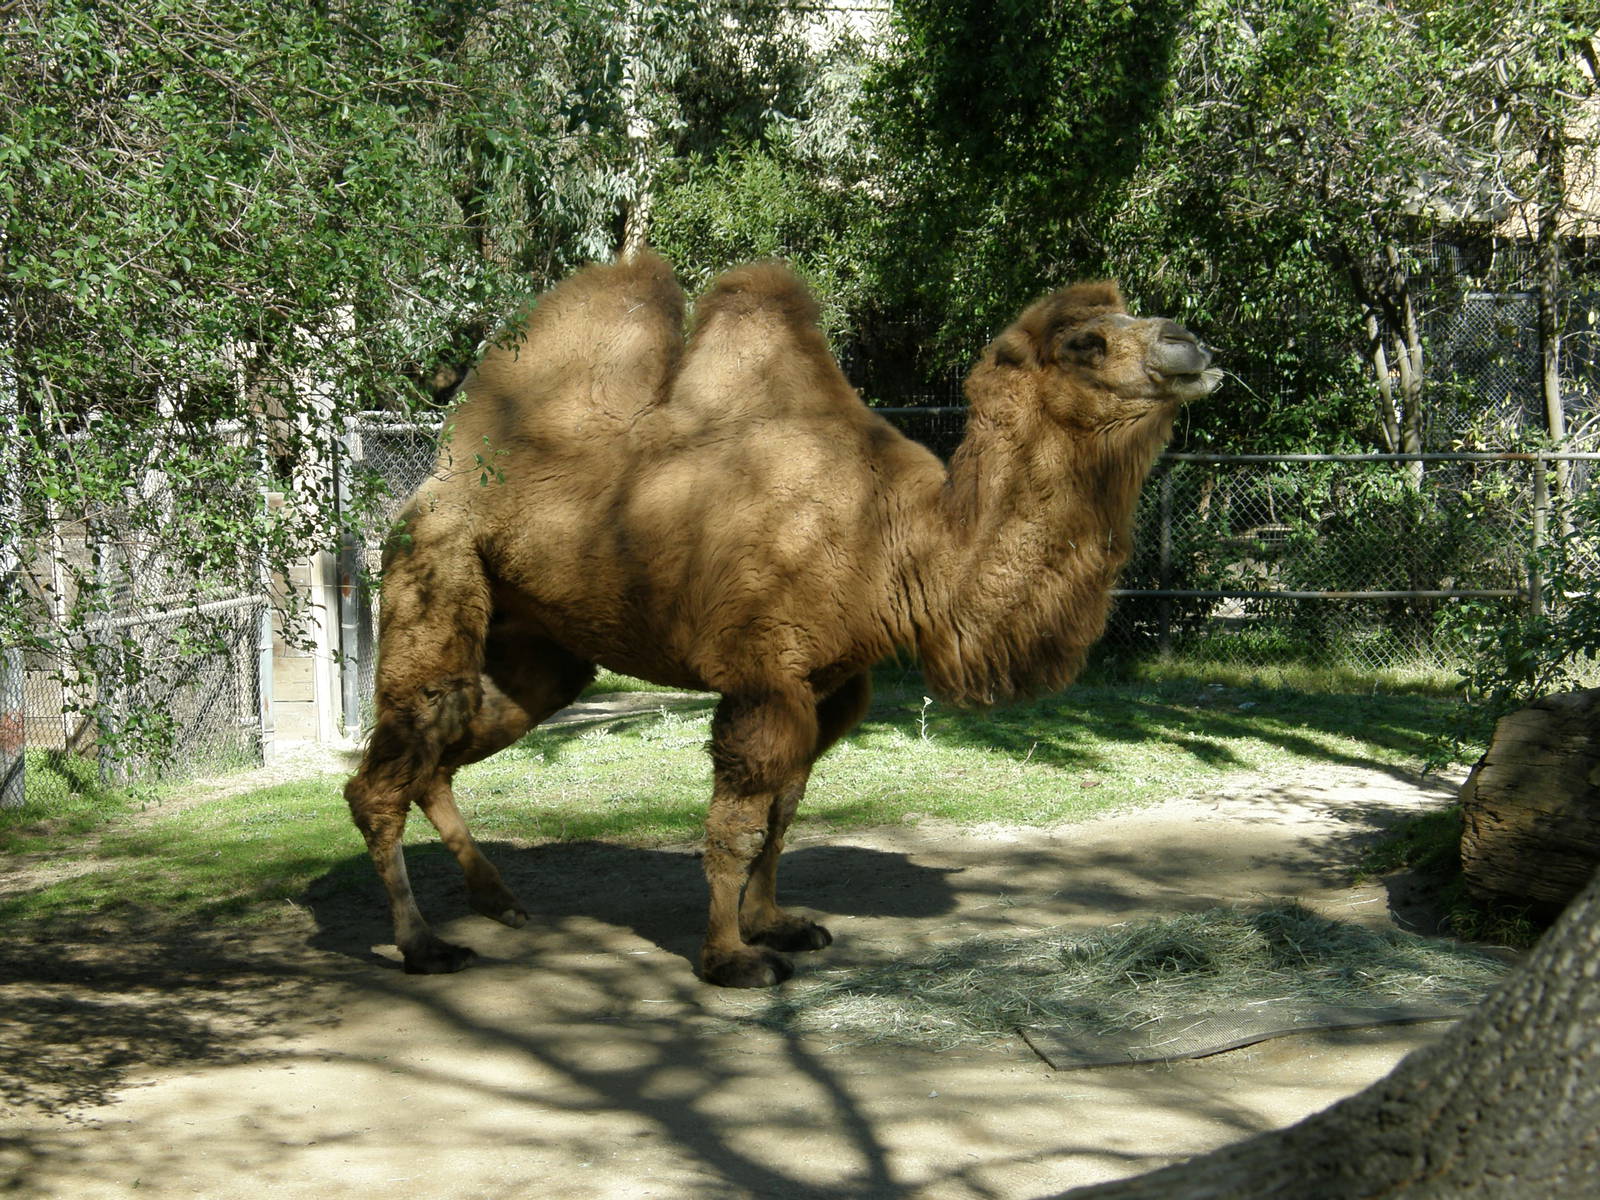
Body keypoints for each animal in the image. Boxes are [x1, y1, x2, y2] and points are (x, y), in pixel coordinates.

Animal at [344, 252, 1220, 988]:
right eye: (1084, 341)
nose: (1191, 341)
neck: (893, 540)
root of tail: (435, 477)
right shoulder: (763, 674)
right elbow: (738, 821)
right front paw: (731, 958)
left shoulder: (832, 682)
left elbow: (785, 812)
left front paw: (775, 923)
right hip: (434, 570)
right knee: (393, 761)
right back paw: (424, 944)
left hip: (541, 650)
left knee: (448, 749)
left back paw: (498, 900)